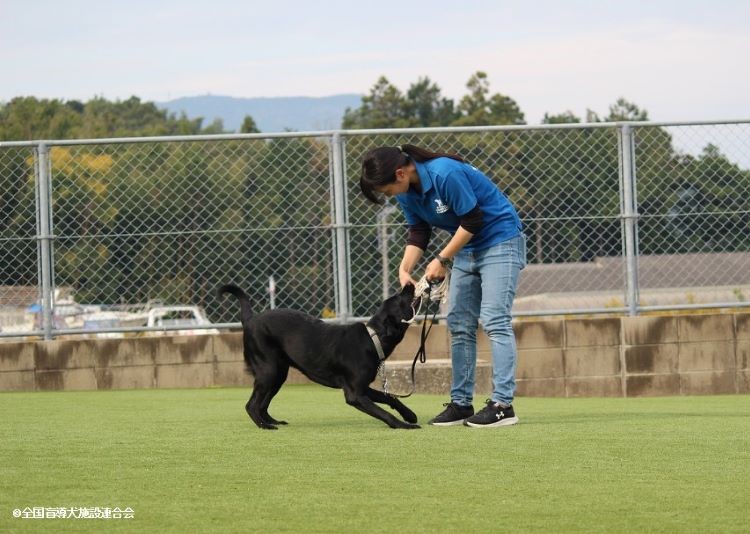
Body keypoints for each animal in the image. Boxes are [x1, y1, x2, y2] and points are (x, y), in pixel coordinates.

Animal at [219, 284, 424, 432]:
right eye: (399, 299)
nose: (408, 284)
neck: (373, 338)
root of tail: (250, 319)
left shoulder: (364, 388)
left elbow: (390, 398)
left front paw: (410, 415)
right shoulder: (355, 394)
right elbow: (384, 413)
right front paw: (404, 425)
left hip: (278, 374)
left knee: (262, 404)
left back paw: (272, 421)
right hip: (269, 371)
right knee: (251, 405)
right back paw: (265, 426)